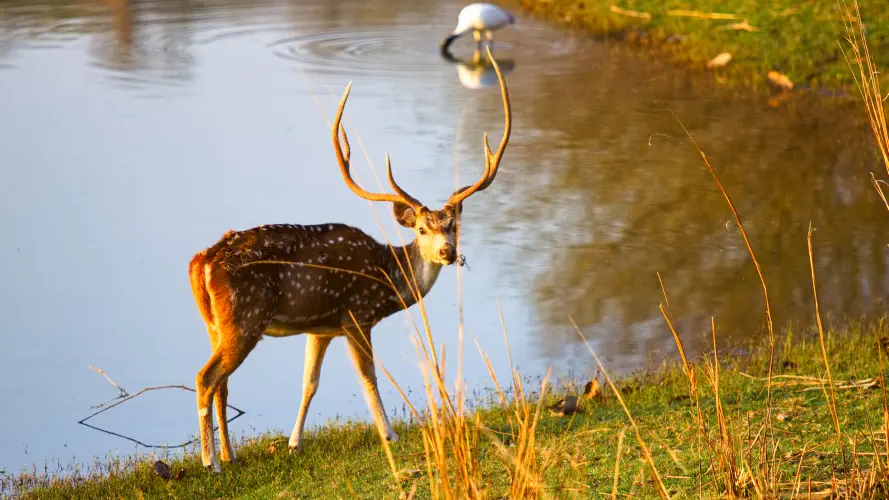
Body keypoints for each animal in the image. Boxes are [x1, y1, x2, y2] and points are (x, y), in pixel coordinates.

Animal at [187, 52, 511, 472]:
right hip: (245, 318)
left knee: (222, 384)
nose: (447, 252)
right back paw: (211, 462)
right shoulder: (357, 313)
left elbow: (309, 382)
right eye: (422, 228)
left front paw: (294, 443)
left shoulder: (321, 326)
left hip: (216, 323)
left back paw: (229, 454)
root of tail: (201, 263)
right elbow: (368, 377)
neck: (389, 277)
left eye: (452, 225)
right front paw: (389, 434)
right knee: (206, 378)